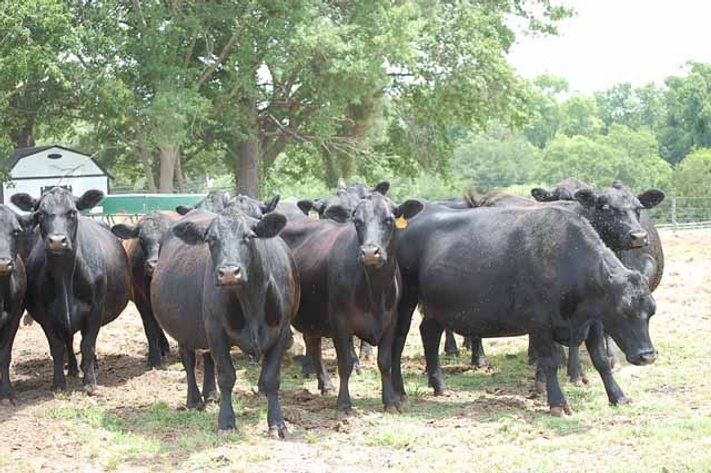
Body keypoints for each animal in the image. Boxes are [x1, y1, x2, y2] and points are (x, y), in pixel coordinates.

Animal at [11, 188, 130, 393]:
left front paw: (89, 382)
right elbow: (58, 348)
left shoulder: (95, 309)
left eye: (72, 212)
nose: (57, 241)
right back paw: (74, 368)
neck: (64, 276)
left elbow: (88, 344)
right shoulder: (45, 316)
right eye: (40, 214)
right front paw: (58, 383)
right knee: (68, 339)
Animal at [110, 211, 179, 367]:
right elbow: (150, 328)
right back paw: (163, 346)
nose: (153, 264)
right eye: (141, 239)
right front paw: (153, 358)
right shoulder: (141, 300)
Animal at [152, 207, 299, 435]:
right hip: (185, 329)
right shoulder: (215, 330)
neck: (251, 301)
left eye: (248, 236)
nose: (229, 272)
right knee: (188, 359)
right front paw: (227, 422)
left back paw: (211, 394)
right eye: (211, 239)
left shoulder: (281, 330)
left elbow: (271, 378)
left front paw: (277, 423)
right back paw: (194, 400)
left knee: (207, 358)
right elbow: (226, 376)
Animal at [280, 191, 423, 412]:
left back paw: (325, 384)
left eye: (389, 220)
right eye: (357, 222)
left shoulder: (391, 321)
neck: (376, 292)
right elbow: (345, 363)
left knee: (313, 343)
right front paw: (344, 402)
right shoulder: (340, 322)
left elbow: (384, 362)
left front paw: (390, 401)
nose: (370, 252)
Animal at [393, 203, 657, 414]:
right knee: (400, 340)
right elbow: (550, 362)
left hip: (437, 307)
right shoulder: (540, 325)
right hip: (406, 301)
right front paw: (557, 403)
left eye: (651, 312)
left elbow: (600, 360)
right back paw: (401, 393)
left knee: (429, 333)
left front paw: (618, 396)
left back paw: (439, 386)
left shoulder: (592, 322)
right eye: (623, 310)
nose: (648, 356)